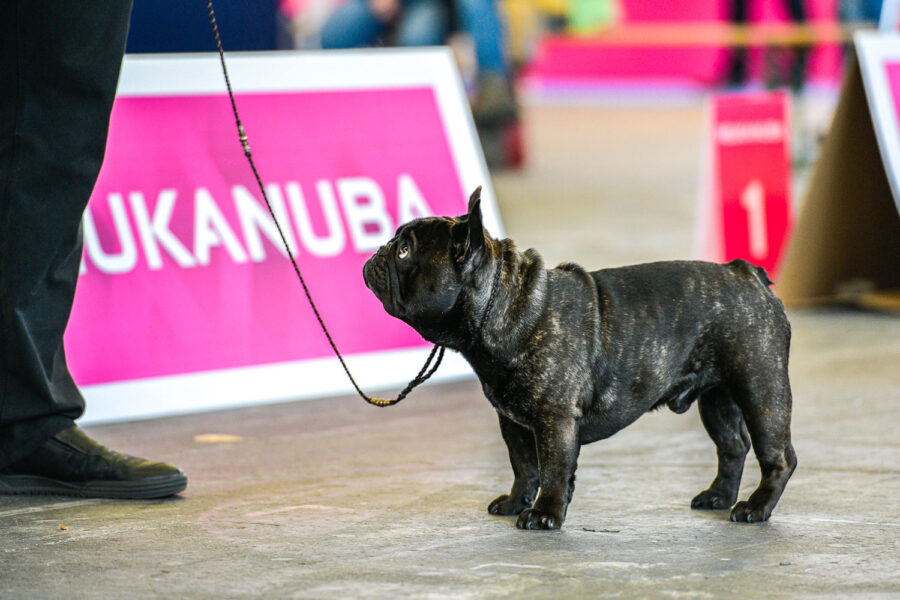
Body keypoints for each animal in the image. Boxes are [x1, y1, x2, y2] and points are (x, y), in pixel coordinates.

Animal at [362, 188, 800, 528]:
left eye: (405, 251)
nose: (379, 251)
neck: (504, 303)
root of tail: (747, 274)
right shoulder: (512, 421)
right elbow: (524, 466)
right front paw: (516, 502)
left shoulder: (554, 418)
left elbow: (553, 468)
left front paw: (545, 514)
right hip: (716, 398)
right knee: (733, 446)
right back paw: (718, 496)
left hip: (760, 389)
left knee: (778, 456)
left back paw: (755, 508)